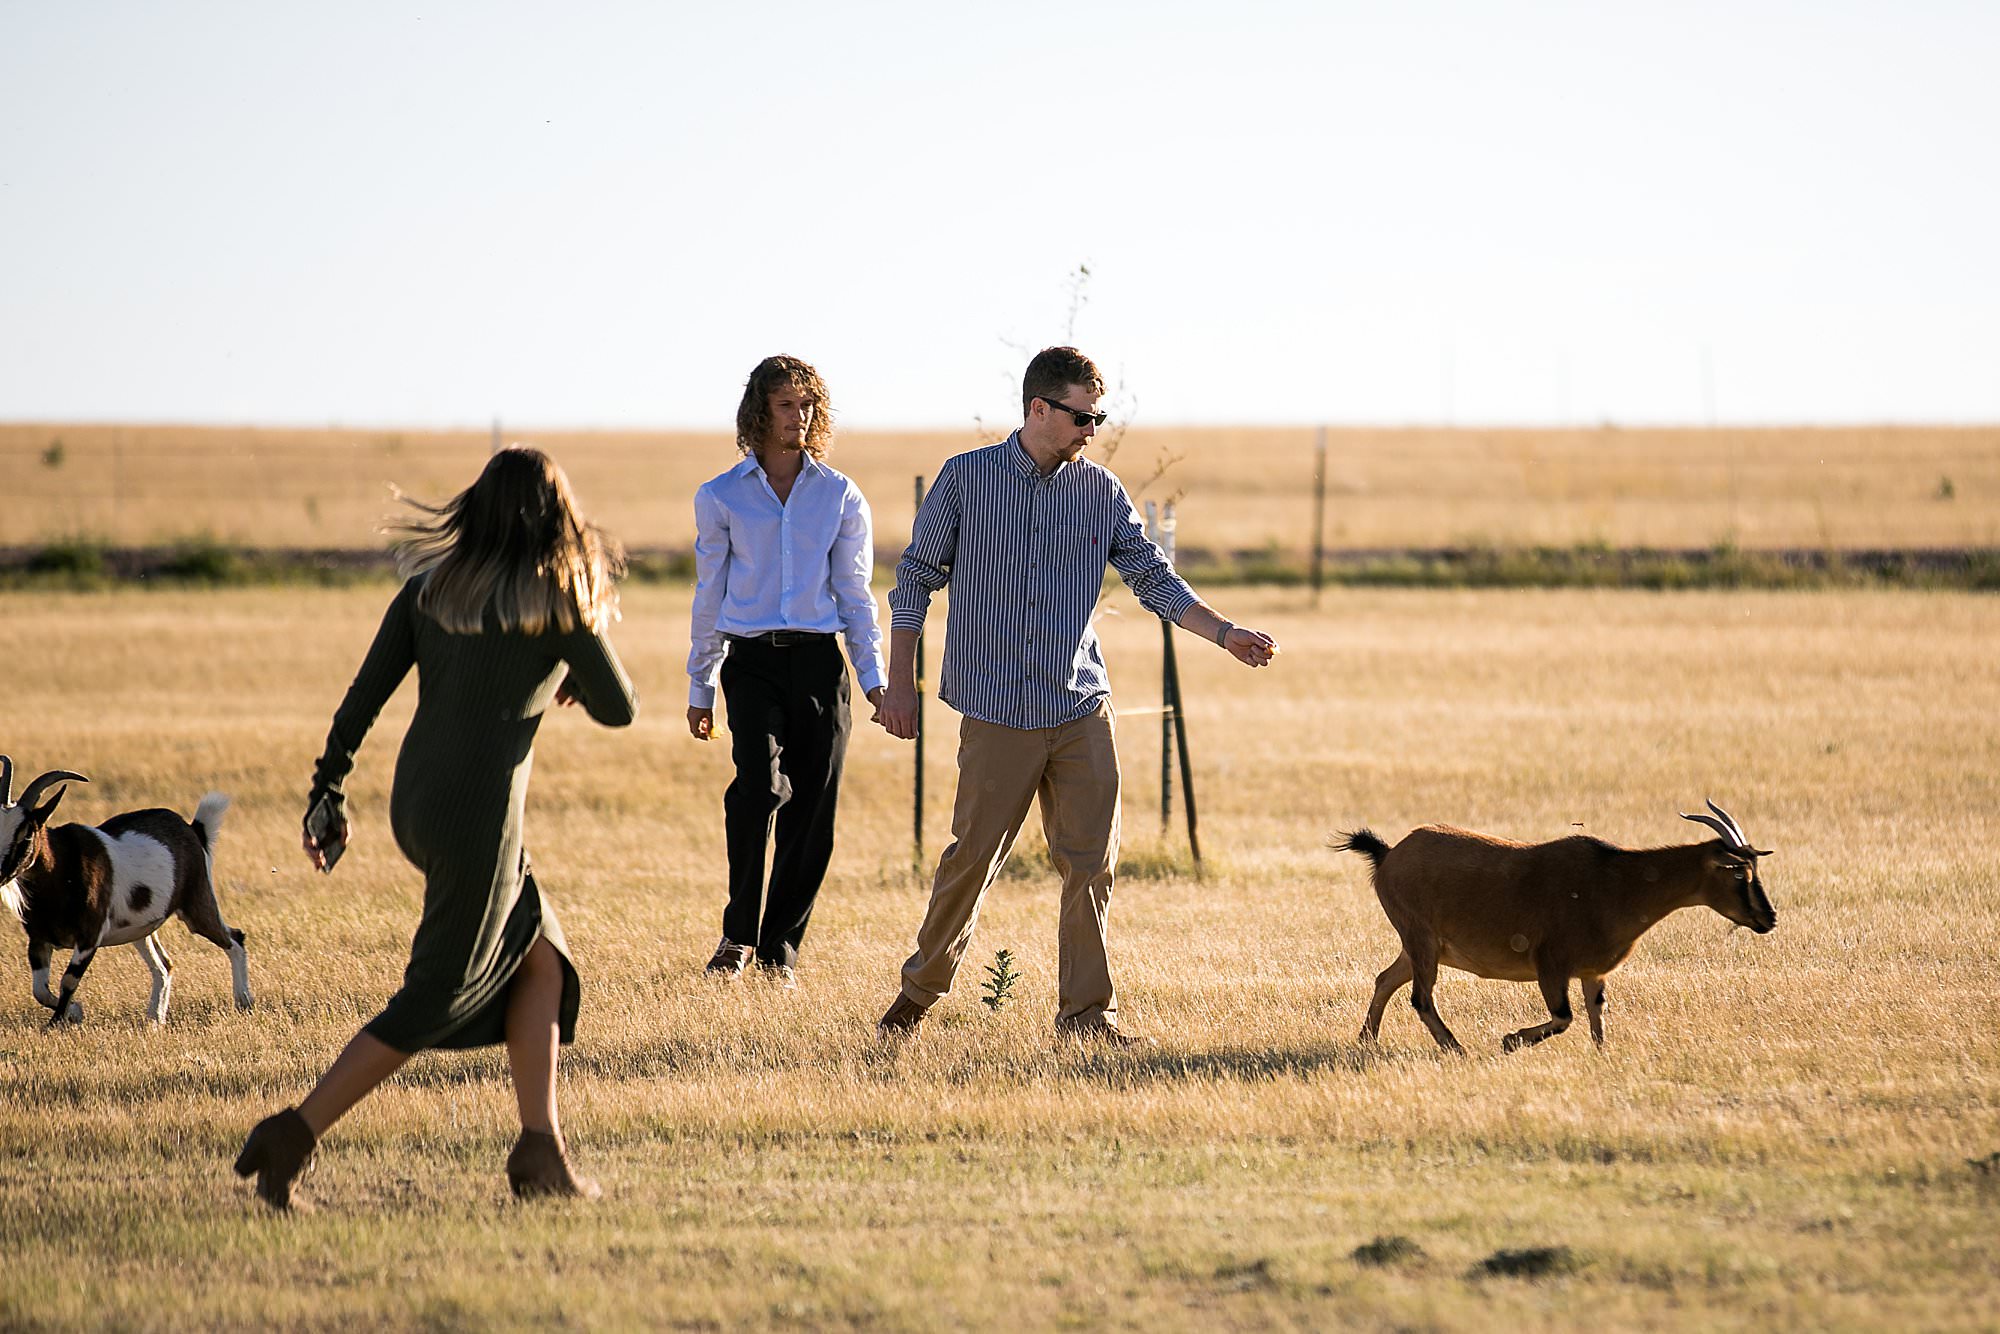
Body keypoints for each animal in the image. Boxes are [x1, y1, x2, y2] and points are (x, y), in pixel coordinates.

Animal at [0, 756, 254, 1032]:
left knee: (234, 939)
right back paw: (155, 1018)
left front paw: (58, 1022)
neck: (62, 867)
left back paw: (244, 1002)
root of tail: (193, 828)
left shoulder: (89, 937)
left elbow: (67, 981)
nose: (1, 873)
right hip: (142, 929)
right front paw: (74, 1013)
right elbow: (39, 990)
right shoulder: (38, 939)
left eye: (27, 833)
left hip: (197, 904)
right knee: (164, 965)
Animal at [1336, 804, 1776, 1056]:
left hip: (1420, 947)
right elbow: (1564, 1017)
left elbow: (1597, 1019)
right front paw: (1510, 1040)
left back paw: (1367, 1041)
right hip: (1422, 942)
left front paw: (1602, 1058)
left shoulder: (1592, 973)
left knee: (1385, 979)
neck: (1615, 880)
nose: (1768, 919)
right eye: (1739, 872)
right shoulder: (1551, 965)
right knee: (1420, 997)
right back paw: (1456, 1049)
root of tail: (1389, 854)